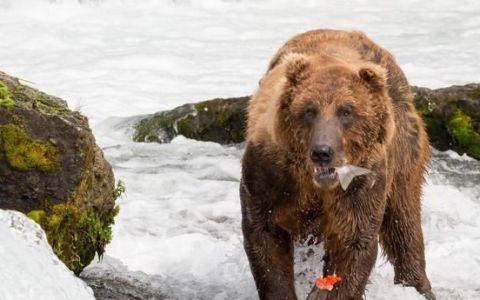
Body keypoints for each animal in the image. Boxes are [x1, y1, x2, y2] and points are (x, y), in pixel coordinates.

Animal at [240, 28, 436, 300]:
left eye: (347, 111)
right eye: (309, 109)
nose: (323, 152)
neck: (313, 183)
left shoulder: (360, 184)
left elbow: (353, 243)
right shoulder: (268, 178)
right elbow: (265, 237)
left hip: (403, 150)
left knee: (403, 218)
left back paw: (418, 286)